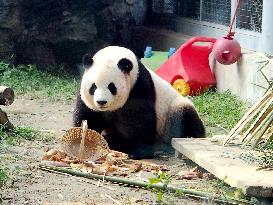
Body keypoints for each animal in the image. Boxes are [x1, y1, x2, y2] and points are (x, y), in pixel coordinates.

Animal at [72, 46, 204, 159]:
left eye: (111, 87)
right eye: (93, 87)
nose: (101, 102)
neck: (115, 54)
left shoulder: (139, 85)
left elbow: (140, 121)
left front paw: (138, 153)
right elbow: (88, 116)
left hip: (173, 110)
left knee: (185, 119)